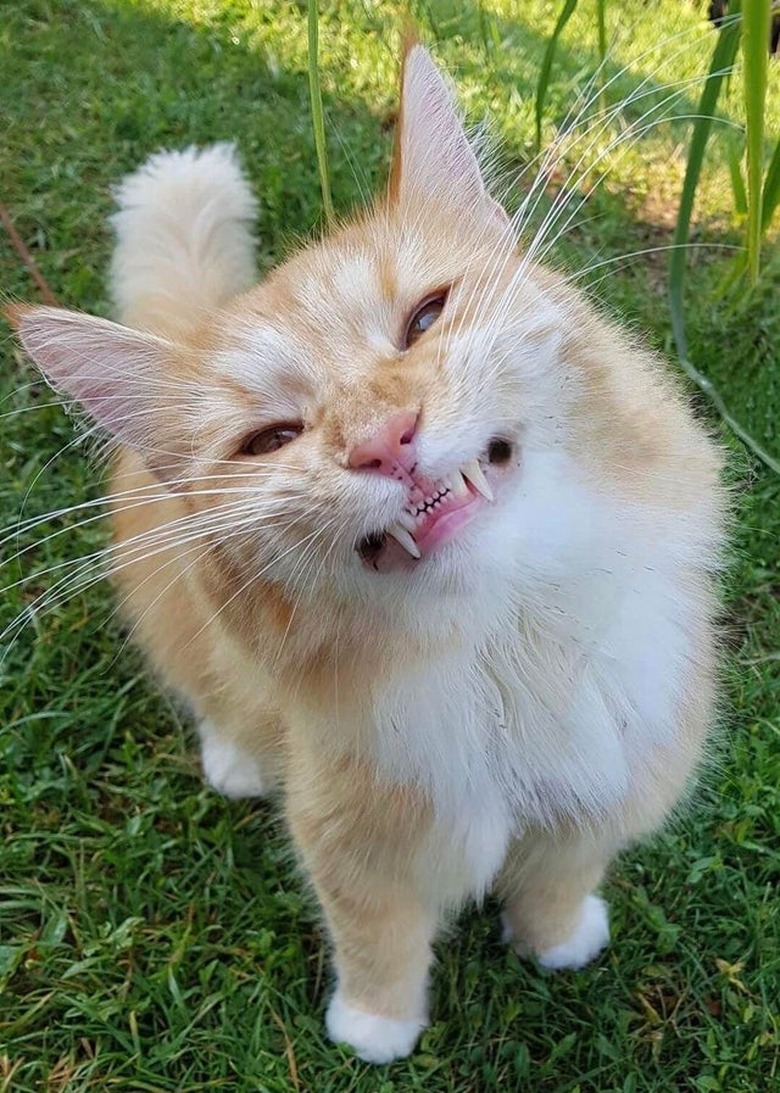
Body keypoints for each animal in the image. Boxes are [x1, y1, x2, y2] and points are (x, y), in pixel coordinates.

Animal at [10, 44, 721, 1066]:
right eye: (270, 439)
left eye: (424, 320)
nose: (386, 440)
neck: (510, 650)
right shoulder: (358, 839)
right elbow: (377, 943)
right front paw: (374, 1031)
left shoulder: (604, 786)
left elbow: (557, 879)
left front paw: (556, 943)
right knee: (210, 695)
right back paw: (235, 760)